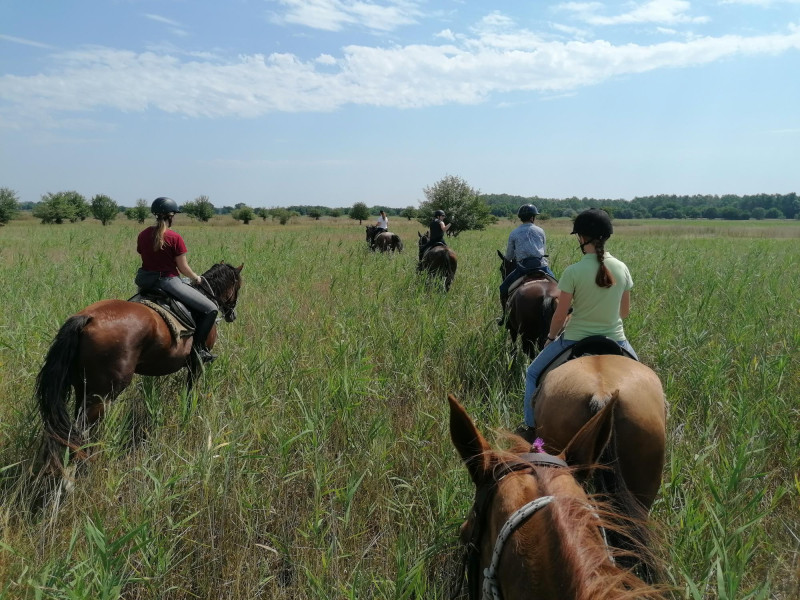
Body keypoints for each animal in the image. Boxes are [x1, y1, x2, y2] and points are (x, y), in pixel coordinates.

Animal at [34, 262, 245, 474]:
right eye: (238, 286)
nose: (232, 314)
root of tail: (88, 318)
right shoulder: (196, 364)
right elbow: (190, 390)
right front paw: (188, 413)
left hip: (83, 387)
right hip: (102, 395)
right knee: (83, 429)